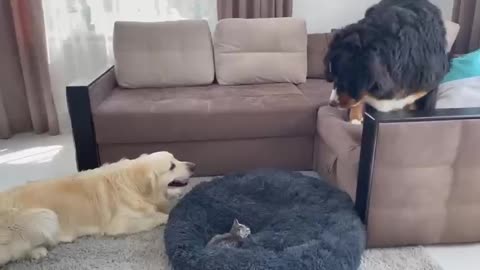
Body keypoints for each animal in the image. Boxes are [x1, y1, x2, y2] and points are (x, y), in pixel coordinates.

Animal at [0, 152, 195, 266]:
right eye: (171, 166)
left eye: (176, 158)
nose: (193, 166)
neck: (131, 183)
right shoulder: (120, 224)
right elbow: (158, 216)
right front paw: (167, 215)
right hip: (46, 217)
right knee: (15, 251)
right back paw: (37, 251)